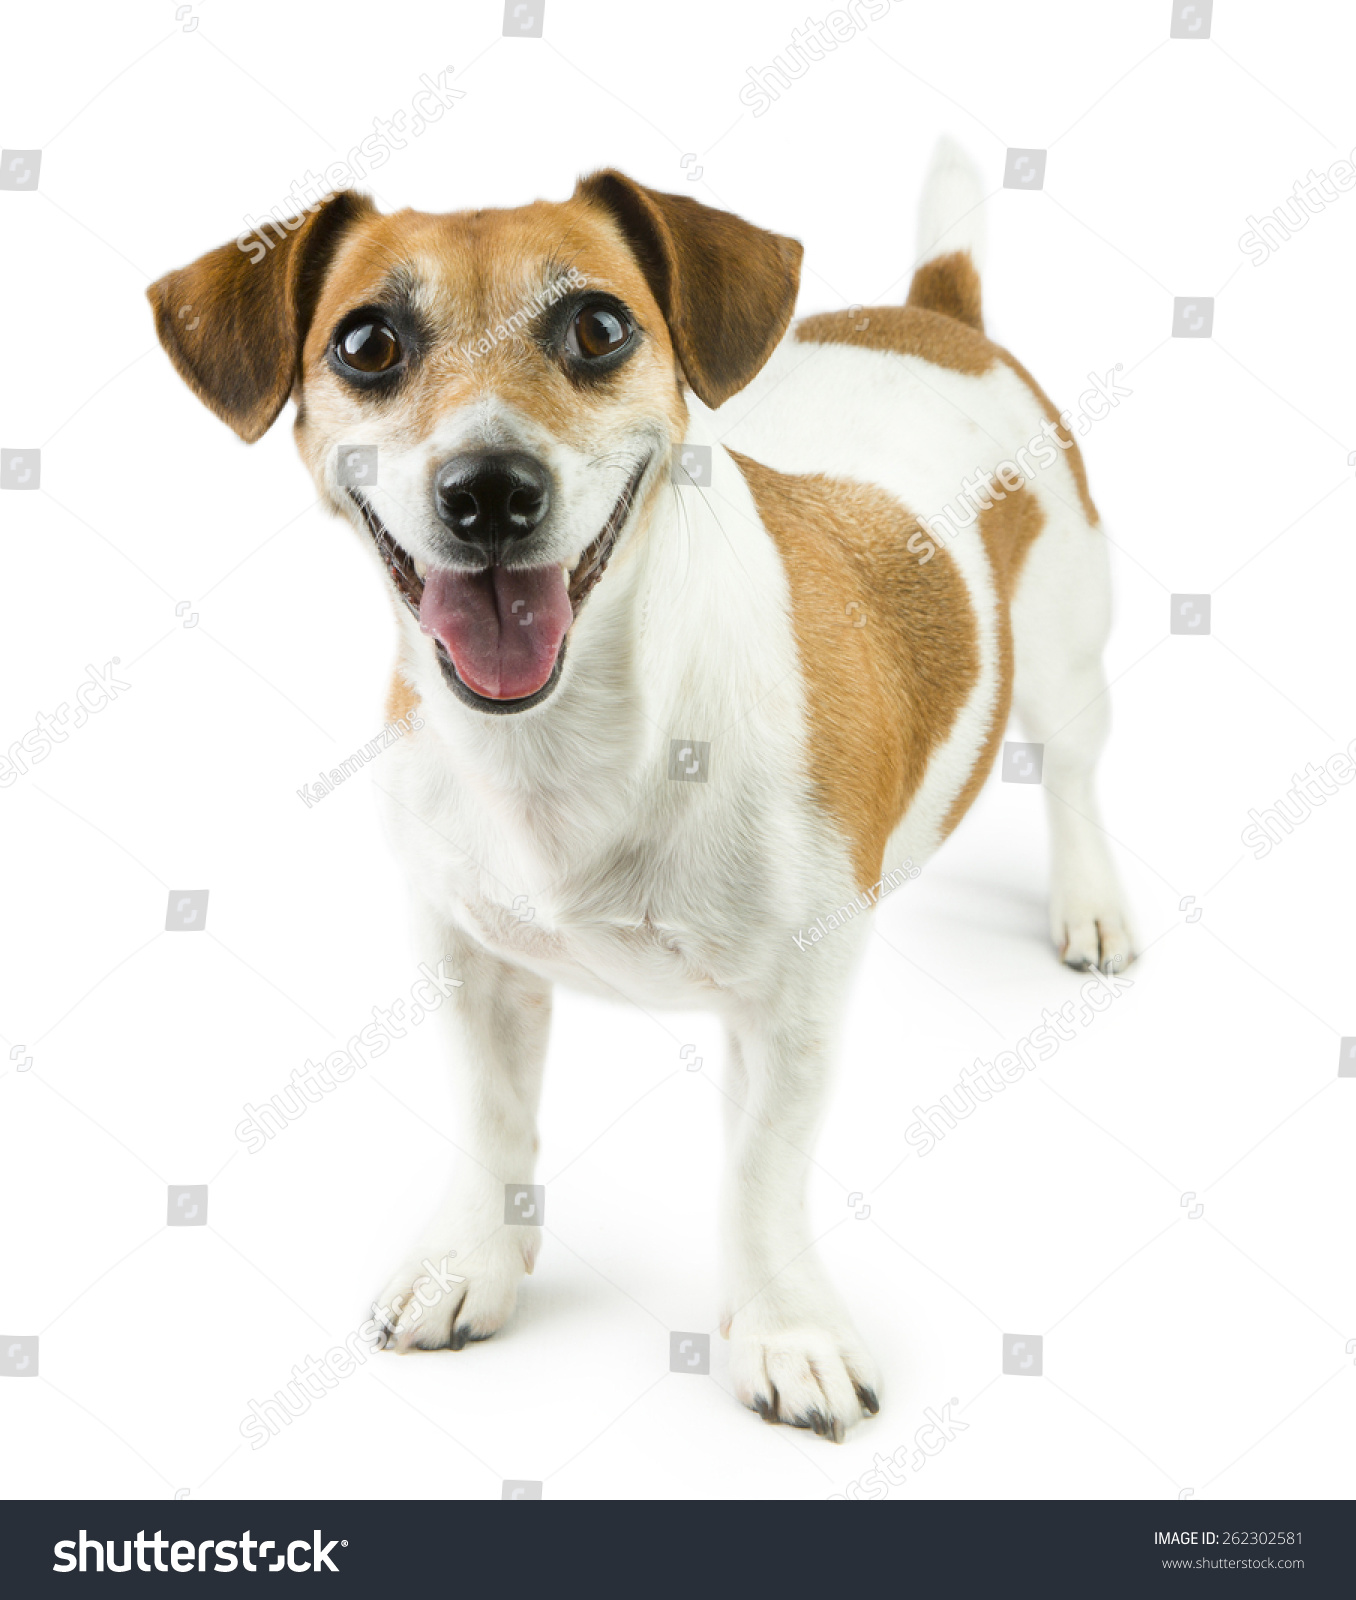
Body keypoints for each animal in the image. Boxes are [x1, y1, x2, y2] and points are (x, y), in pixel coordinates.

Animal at [148, 144, 1132, 1446]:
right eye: (366, 344)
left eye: (599, 327)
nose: (490, 490)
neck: (569, 738)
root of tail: (935, 312)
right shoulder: (468, 955)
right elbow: (491, 1116)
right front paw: (476, 1259)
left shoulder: (793, 1009)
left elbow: (761, 1169)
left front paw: (784, 1331)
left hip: (1066, 649)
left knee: (1072, 776)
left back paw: (1091, 904)